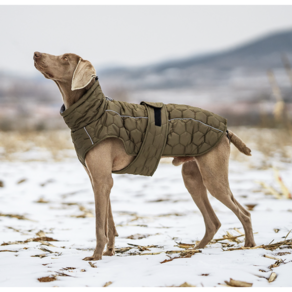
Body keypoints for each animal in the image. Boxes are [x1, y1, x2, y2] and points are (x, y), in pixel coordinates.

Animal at [34, 52, 256, 260]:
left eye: (64, 58)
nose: (36, 54)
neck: (94, 113)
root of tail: (226, 129)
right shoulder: (99, 179)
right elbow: (109, 222)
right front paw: (109, 252)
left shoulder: (101, 180)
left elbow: (99, 225)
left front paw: (95, 256)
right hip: (192, 178)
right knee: (213, 222)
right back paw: (195, 249)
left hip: (213, 178)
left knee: (244, 213)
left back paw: (249, 245)